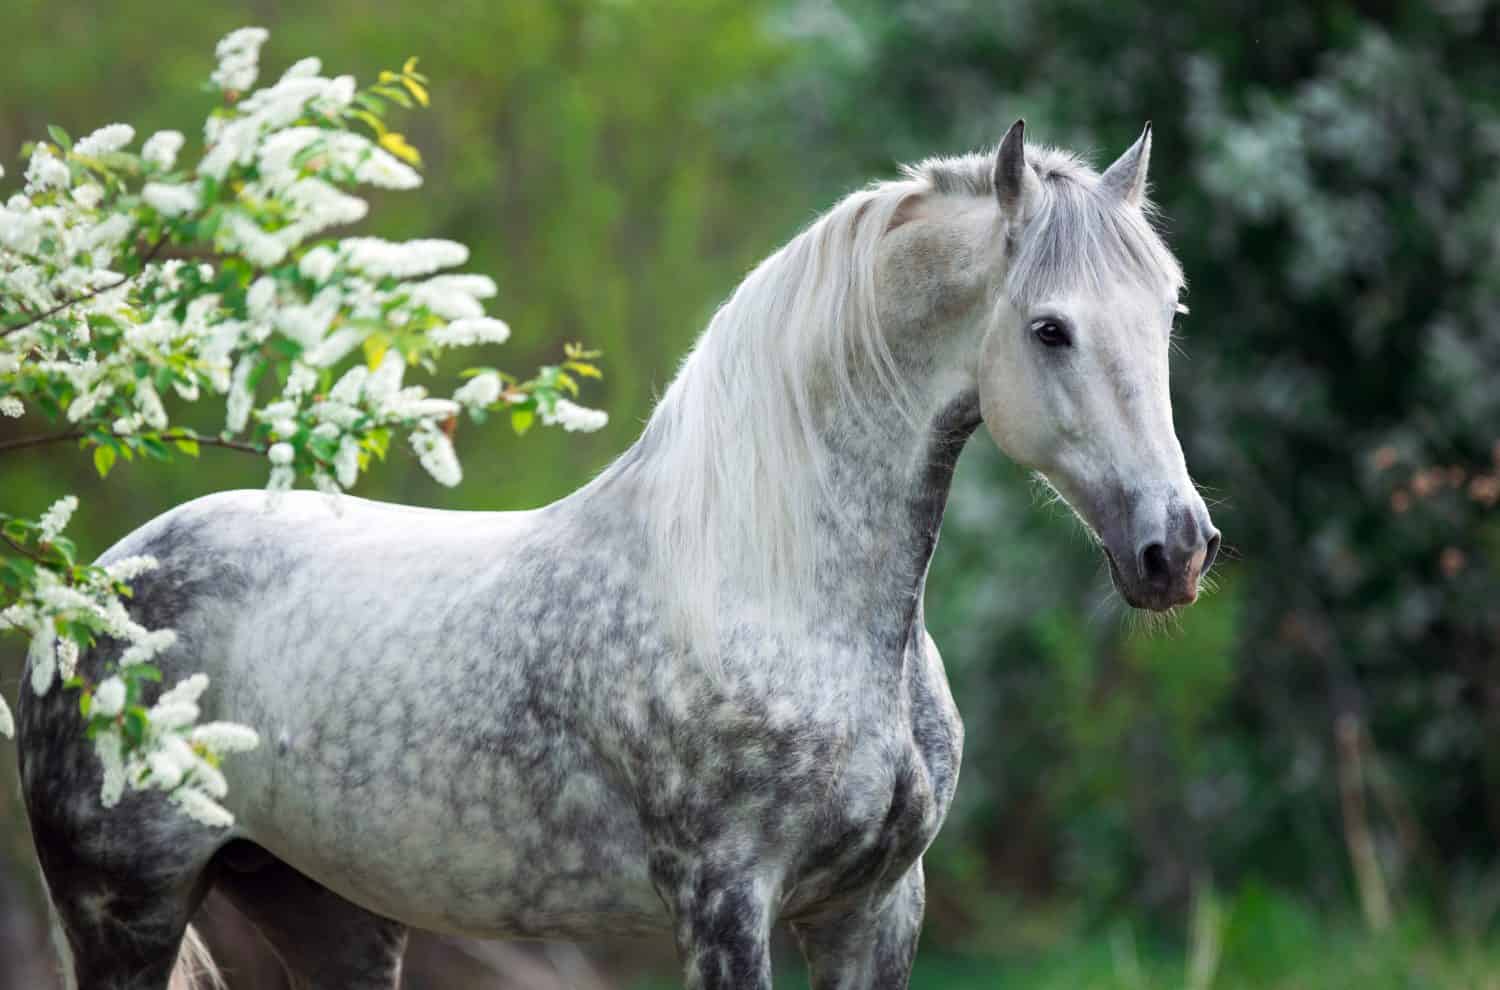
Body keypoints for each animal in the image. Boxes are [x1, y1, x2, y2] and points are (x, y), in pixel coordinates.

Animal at [17, 120, 1218, 989]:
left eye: (1168, 310)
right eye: (1049, 329)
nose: (1177, 548)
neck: (777, 592)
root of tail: (88, 598)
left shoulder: (874, 912)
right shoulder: (725, 904)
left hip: (329, 917)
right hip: (124, 914)